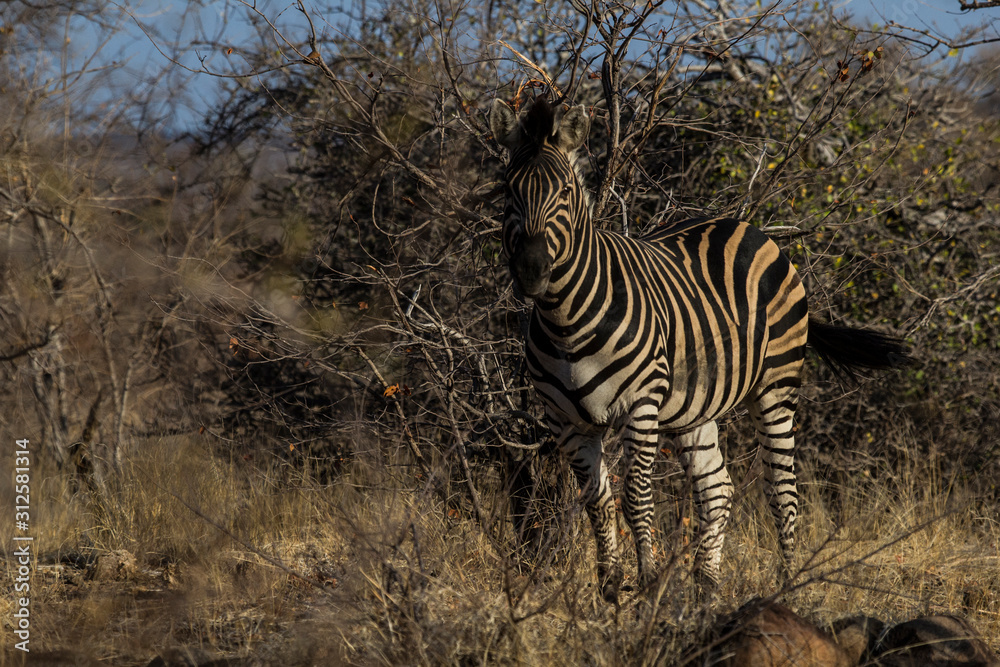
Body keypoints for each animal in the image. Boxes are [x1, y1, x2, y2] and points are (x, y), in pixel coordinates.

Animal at [490, 97, 909, 603]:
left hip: (775, 387)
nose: (531, 272)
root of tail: (749, 227)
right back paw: (706, 587)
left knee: (782, 492)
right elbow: (597, 501)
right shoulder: (565, 421)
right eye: (507, 190)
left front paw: (647, 585)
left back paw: (786, 588)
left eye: (566, 193)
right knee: (717, 487)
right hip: (695, 405)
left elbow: (636, 498)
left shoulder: (641, 405)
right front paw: (611, 590)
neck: (565, 319)